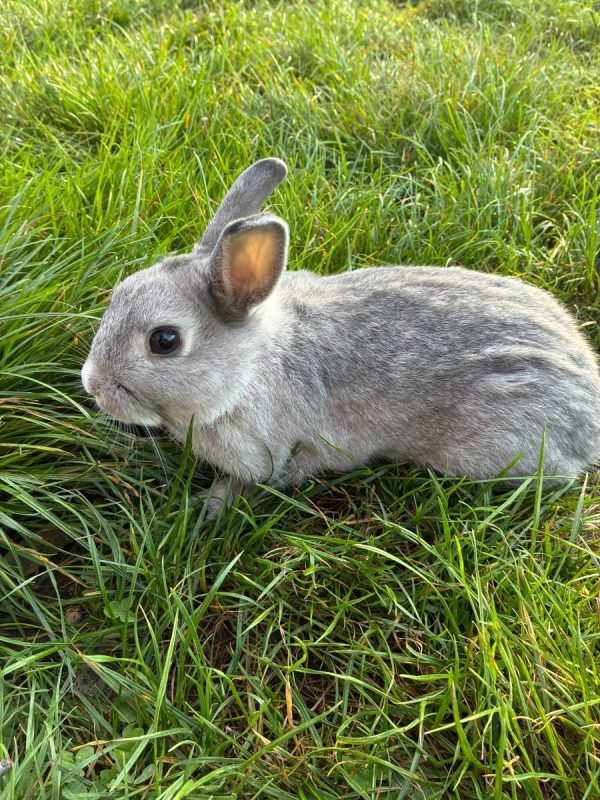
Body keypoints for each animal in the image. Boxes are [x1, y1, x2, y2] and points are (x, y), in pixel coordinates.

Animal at [82, 157, 600, 517]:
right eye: (119, 292)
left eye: (164, 341)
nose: (93, 385)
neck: (249, 370)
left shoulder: (270, 451)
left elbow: (253, 482)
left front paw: (208, 505)